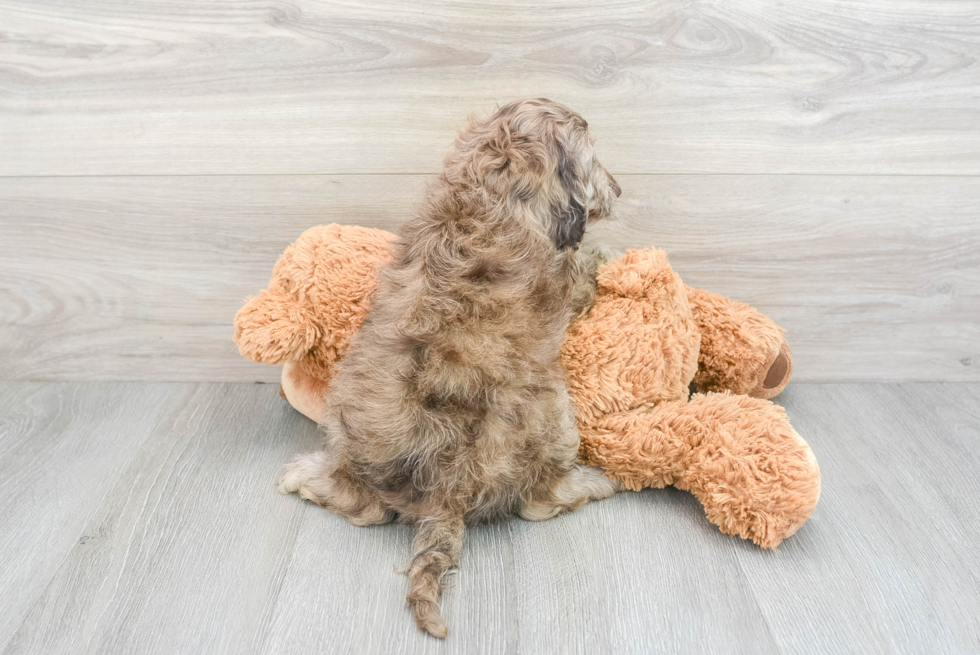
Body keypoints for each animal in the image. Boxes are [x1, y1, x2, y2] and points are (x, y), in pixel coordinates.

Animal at [280, 100, 624, 640]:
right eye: (594, 163)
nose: (619, 190)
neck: (489, 190)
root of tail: (447, 485)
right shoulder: (568, 283)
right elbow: (585, 269)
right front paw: (607, 254)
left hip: (347, 419)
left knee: (365, 507)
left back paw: (304, 476)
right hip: (554, 414)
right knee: (538, 500)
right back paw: (592, 482)